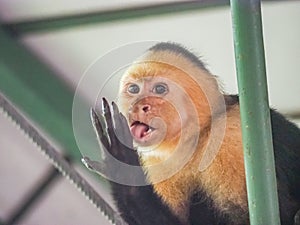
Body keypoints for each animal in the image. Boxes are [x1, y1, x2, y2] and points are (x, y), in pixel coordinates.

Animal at [84, 42, 300, 225]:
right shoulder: (157, 163)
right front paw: (119, 168)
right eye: (134, 89)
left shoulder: (233, 135)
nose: (138, 106)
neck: (195, 139)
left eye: (159, 89)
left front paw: (119, 162)